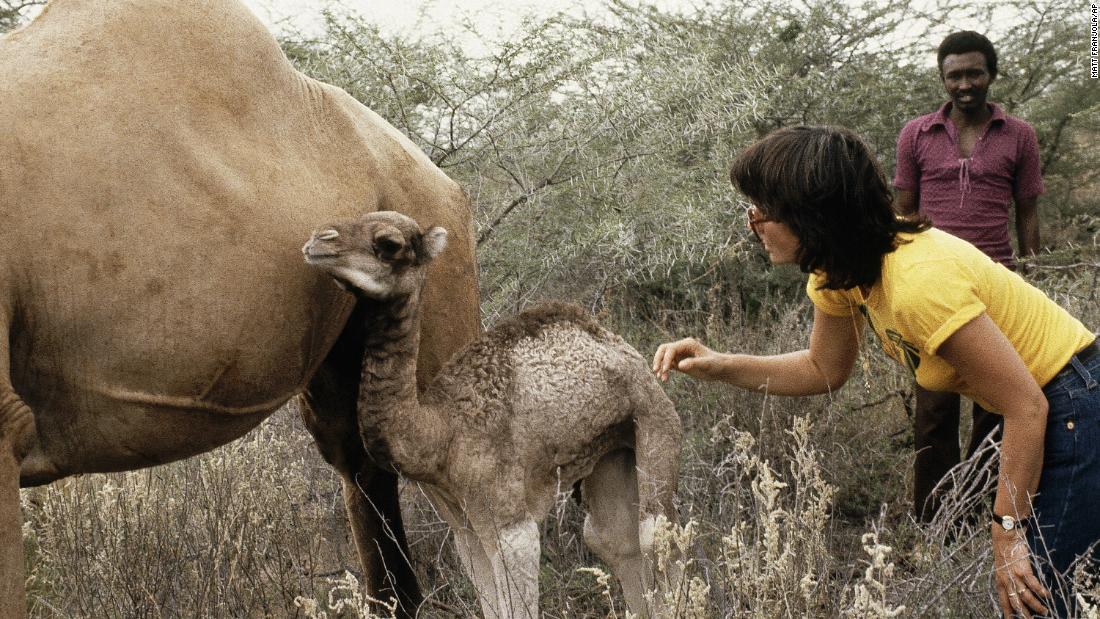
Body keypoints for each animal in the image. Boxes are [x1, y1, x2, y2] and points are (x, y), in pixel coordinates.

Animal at [303, 213, 677, 619]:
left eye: (388, 244)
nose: (317, 241)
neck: (439, 432)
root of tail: (629, 353)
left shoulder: (509, 523)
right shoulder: (465, 527)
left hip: (655, 422)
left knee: (652, 533)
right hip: (609, 454)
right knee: (613, 539)